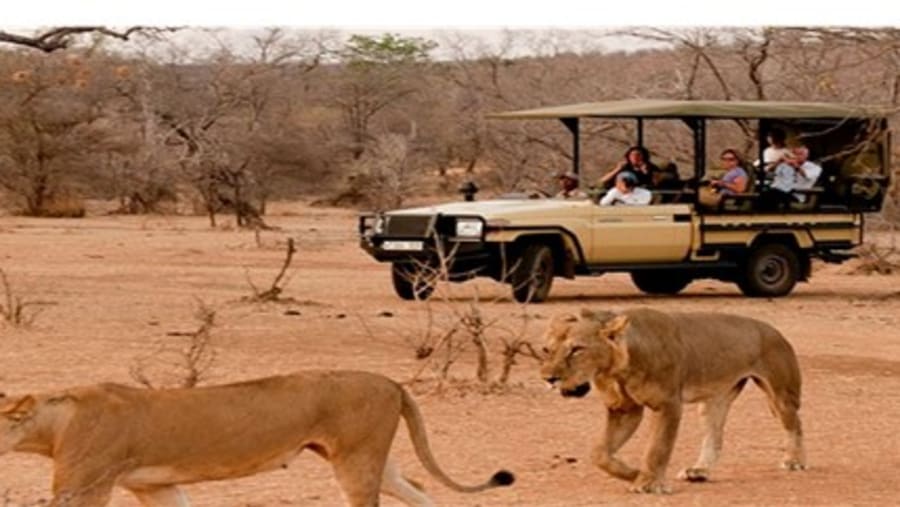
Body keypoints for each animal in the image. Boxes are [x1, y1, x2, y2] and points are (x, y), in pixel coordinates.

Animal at [0, 370, 514, 507]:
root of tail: (392, 382)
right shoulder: (156, 486)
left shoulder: (82, 486)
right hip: (370, 458)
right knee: (421, 492)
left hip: (356, 461)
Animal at [539, 307, 805, 494]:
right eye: (546, 350)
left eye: (577, 349)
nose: (548, 378)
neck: (615, 371)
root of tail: (772, 329)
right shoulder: (624, 410)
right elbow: (599, 453)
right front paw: (633, 473)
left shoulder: (668, 405)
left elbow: (657, 447)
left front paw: (648, 483)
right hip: (712, 402)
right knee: (715, 437)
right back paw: (700, 471)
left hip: (780, 394)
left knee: (795, 425)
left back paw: (795, 461)